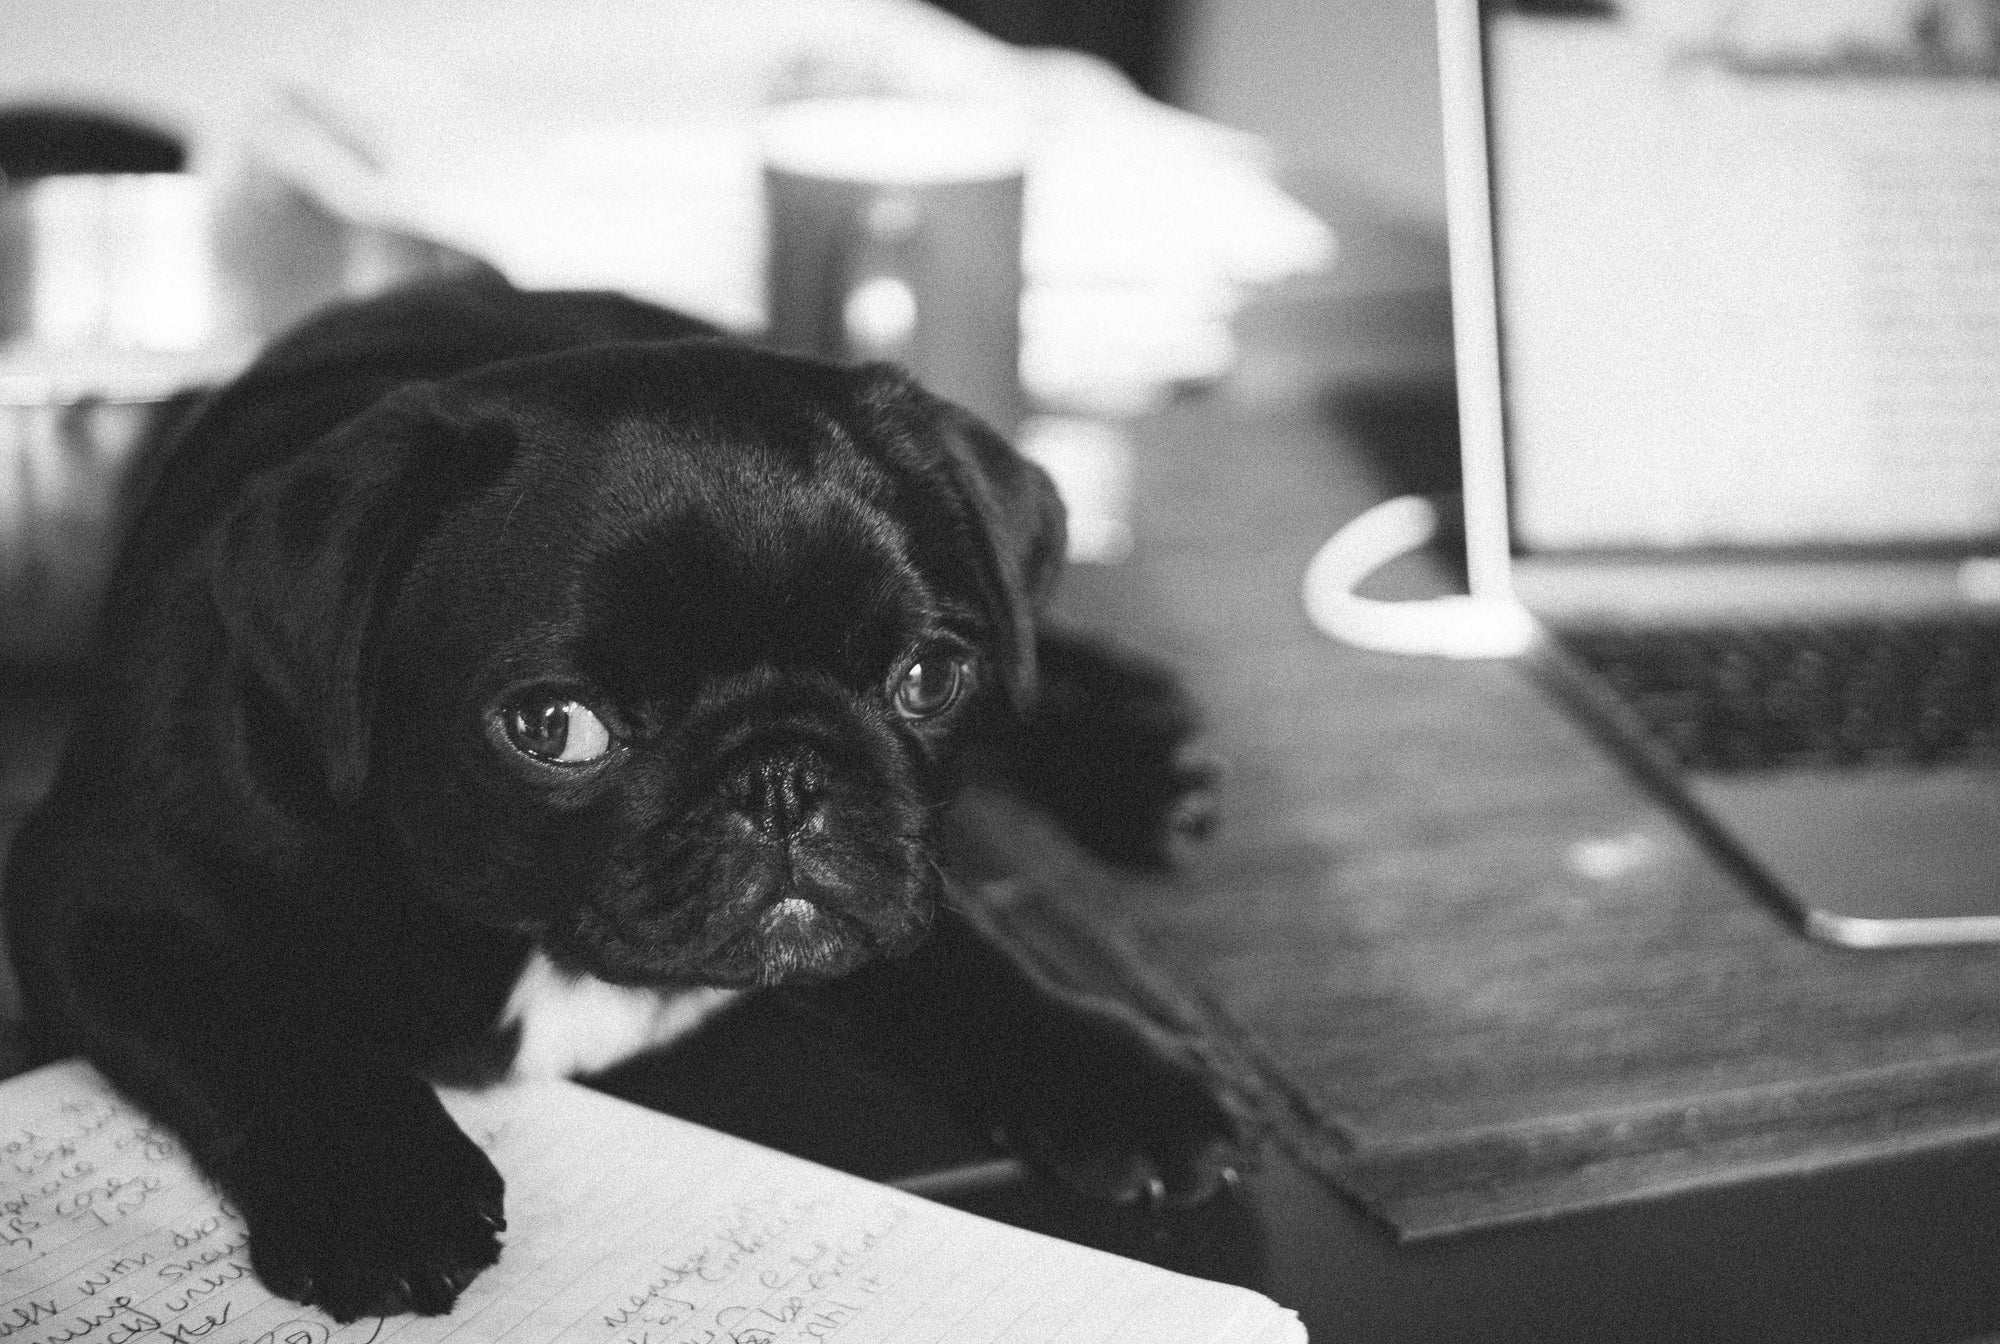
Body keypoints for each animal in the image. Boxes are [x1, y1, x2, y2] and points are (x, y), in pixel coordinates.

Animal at [3, 272, 1232, 1320]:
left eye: (930, 678)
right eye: (555, 729)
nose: (783, 775)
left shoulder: (896, 884)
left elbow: (971, 963)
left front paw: (1112, 1071)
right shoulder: (99, 897)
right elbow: (267, 1031)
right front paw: (383, 1188)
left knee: (1049, 655)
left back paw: (1143, 755)